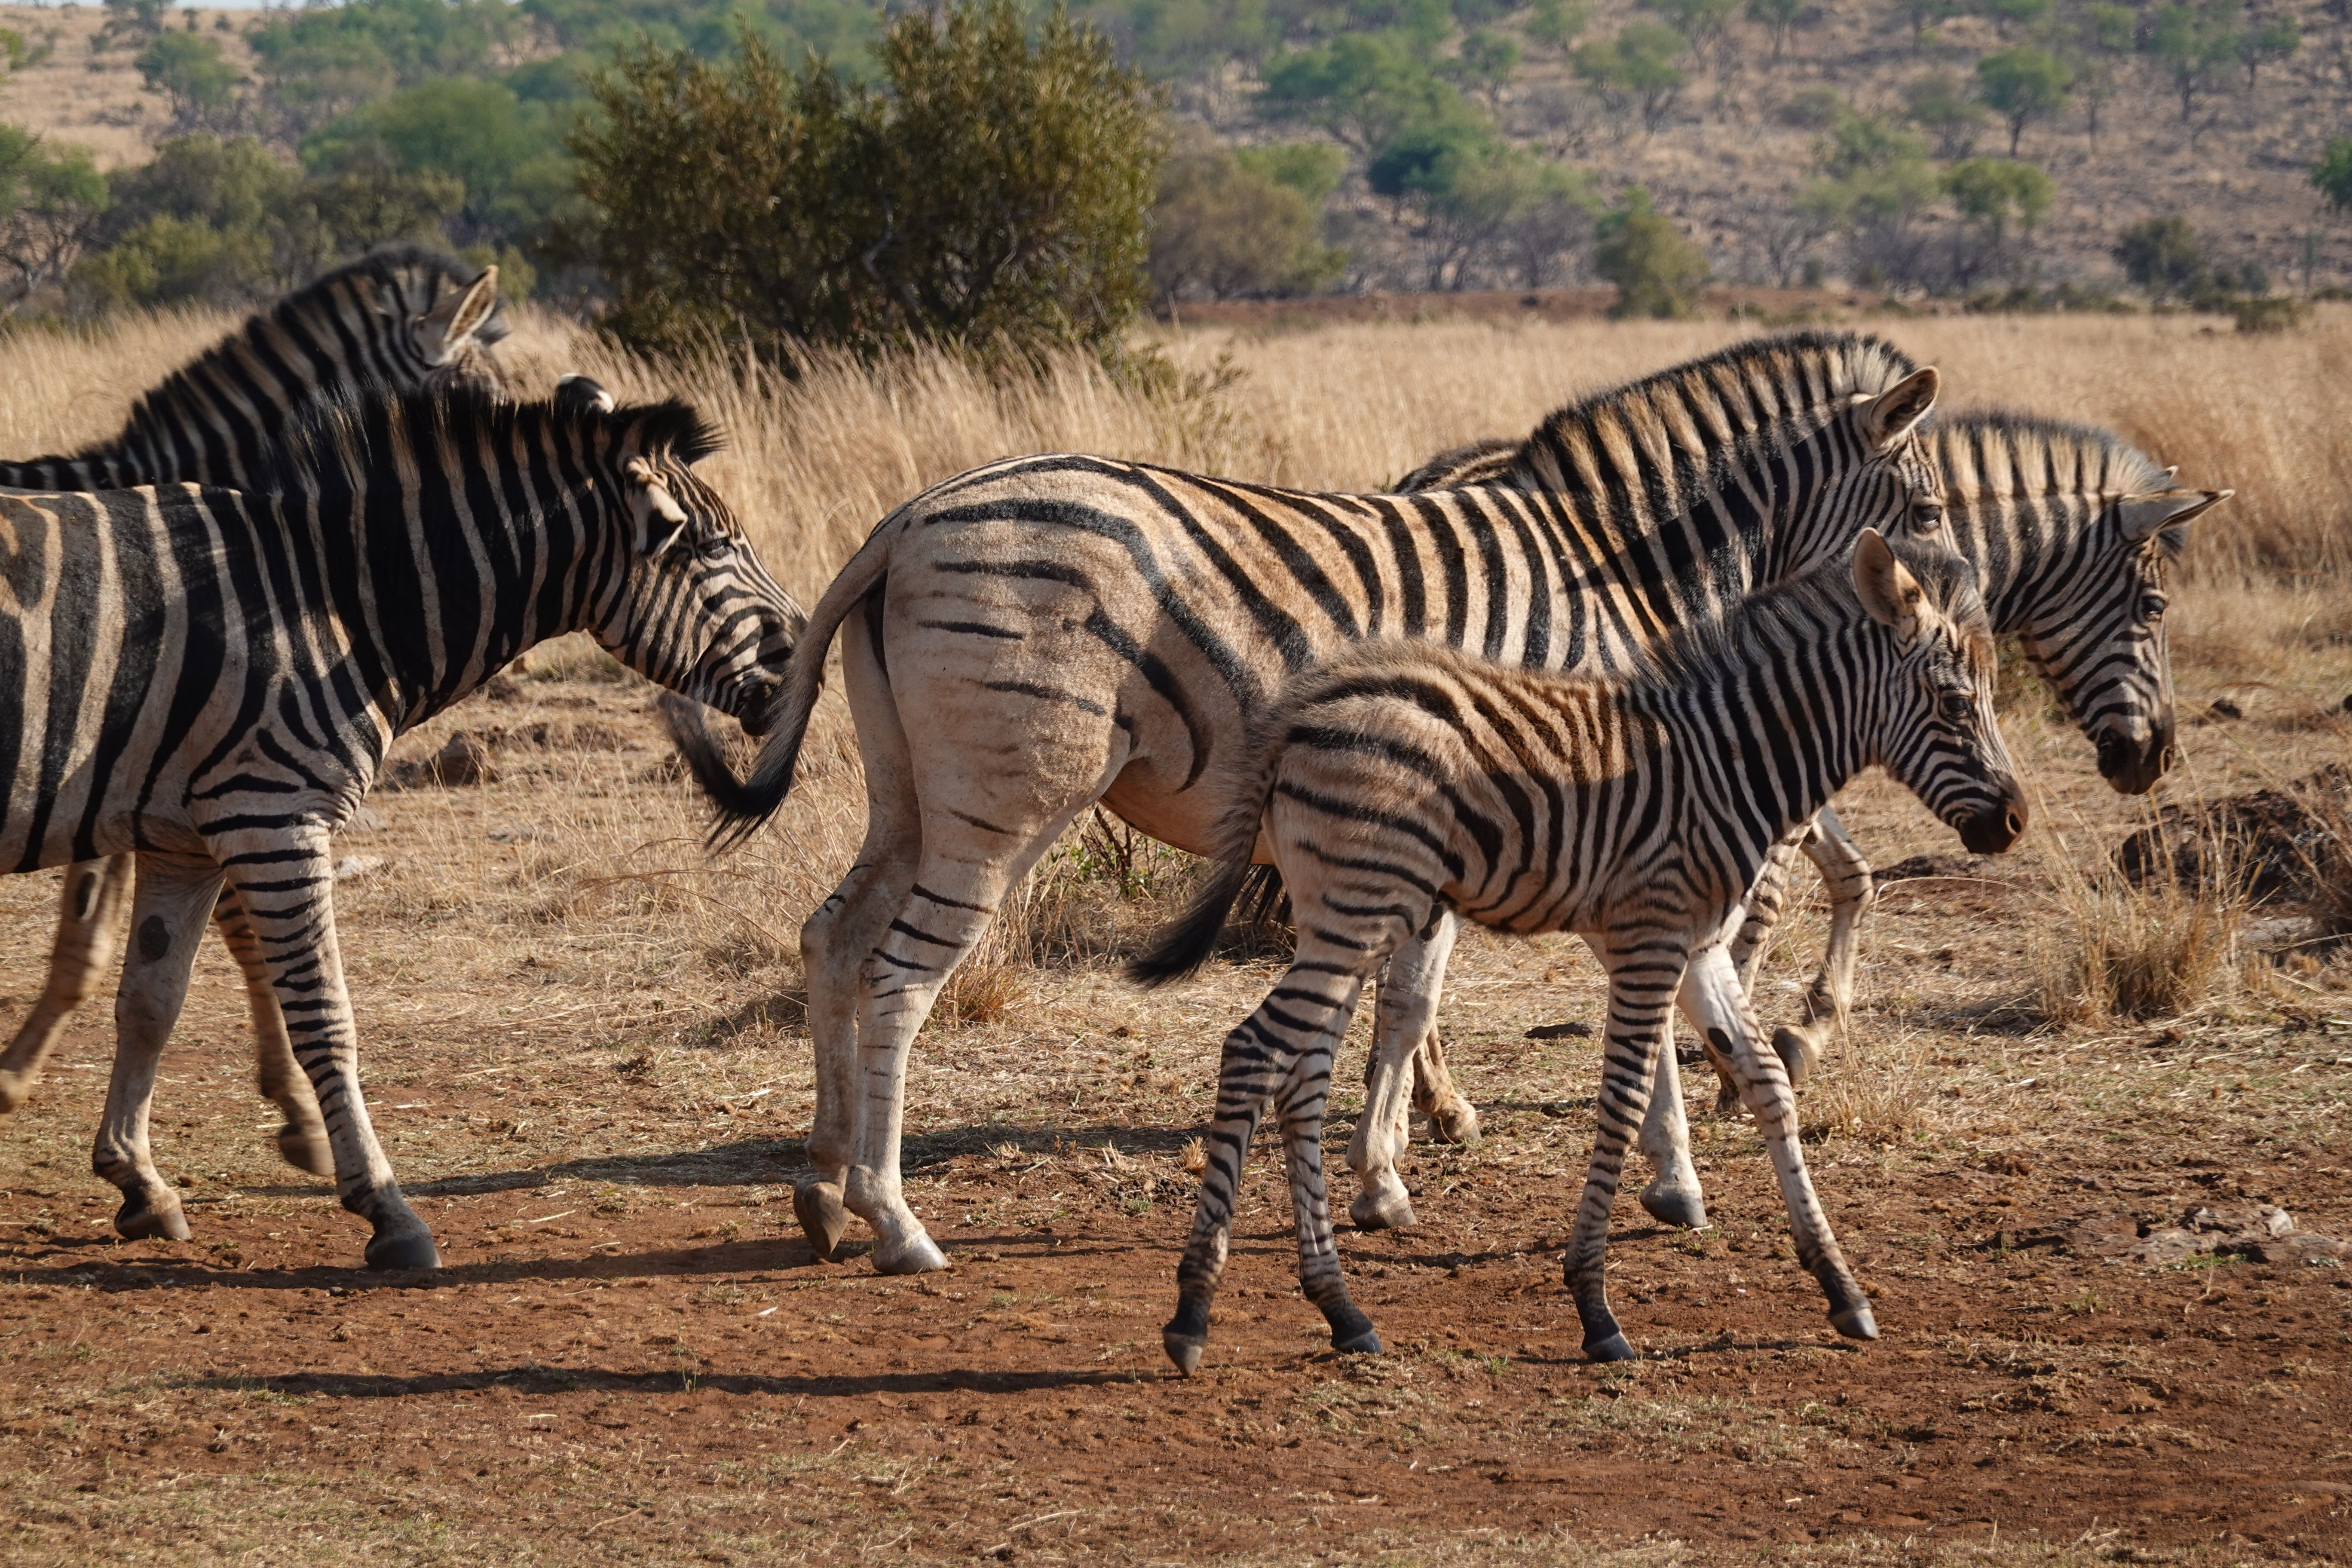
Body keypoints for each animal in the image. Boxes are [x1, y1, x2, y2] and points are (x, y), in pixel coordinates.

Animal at [0, 248, 515, 1176]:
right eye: (484, 403)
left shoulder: (169, 775)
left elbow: (205, 934)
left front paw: (293, 1109)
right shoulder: (165, 766)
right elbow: (122, 942)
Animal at [0, 382, 802, 1265]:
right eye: (713, 548)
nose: (805, 651)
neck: (339, 600)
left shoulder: (184, 836)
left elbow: (151, 1004)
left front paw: (138, 1180)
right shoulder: (270, 814)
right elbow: (325, 1016)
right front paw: (386, 1208)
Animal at [665, 329, 1950, 1275]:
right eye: (1932, 514)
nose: (1955, 622)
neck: (1618, 568)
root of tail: (906, 518)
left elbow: (1407, 997)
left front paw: (1383, 1176)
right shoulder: (1593, 808)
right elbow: (1592, 995)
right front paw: (1671, 1175)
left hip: (908, 793)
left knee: (834, 941)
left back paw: (822, 1189)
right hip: (1007, 799)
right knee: (900, 975)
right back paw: (894, 1220)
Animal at [1130, 531, 2026, 1370]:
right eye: (1954, 703)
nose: (2013, 821)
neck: (1729, 758)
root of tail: (1299, 712)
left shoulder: (1699, 946)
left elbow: (1769, 1083)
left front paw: (1840, 1287)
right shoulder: (1650, 935)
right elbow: (1624, 1100)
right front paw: (1596, 1307)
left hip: (1342, 916)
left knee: (1299, 1079)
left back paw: (1341, 1308)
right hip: (1359, 909)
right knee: (1253, 1050)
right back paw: (1192, 1313)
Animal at [1365, 414, 2229, 1224]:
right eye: (2153, 606)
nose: (2152, 757)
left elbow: (1851, 875)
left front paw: (1798, 1026)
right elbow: (1767, 898)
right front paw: (1734, 1054)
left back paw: (1429, 1103)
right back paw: (1428, 1107)